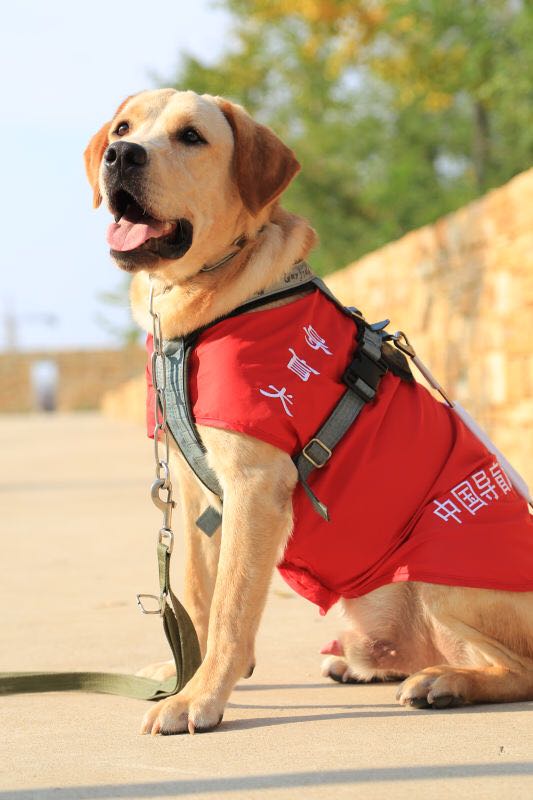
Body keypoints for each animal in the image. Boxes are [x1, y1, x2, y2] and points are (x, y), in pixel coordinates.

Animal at [84, 90, 532, 736]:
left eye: (192, 137)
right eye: (122, 128)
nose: (121, 156)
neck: (201, 308)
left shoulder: (254, 485)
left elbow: (230, 606)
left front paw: (198, 697)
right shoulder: (192, 496)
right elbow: (195, 593)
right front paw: (183, 674)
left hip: (441, 576)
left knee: (520, 668)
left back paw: (446, 682)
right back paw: (372, 665)